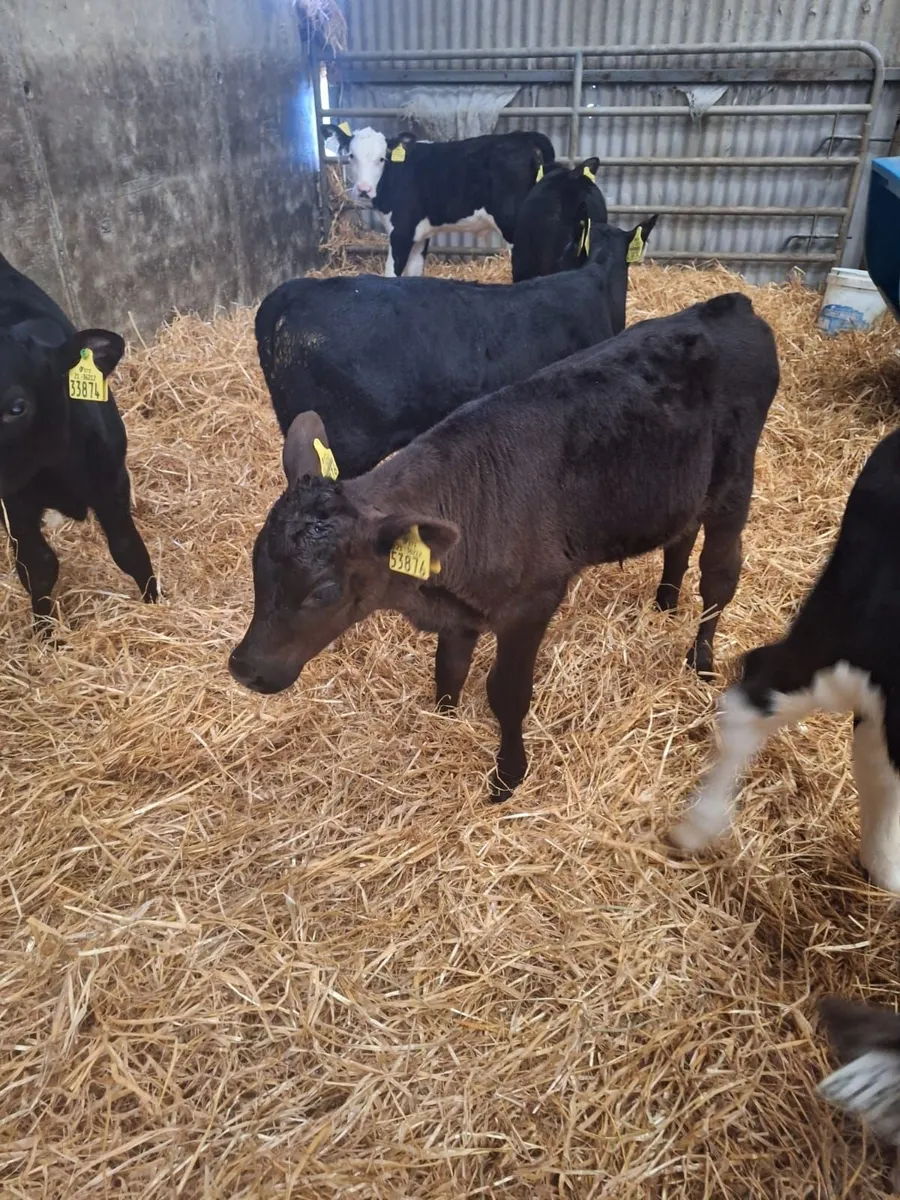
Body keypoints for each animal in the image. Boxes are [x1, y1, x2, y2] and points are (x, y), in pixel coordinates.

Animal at [0, 253, 157, 630]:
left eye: (17, 407)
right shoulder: (15, 504)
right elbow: (37, 566)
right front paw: (46, 633)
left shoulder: (112, 482)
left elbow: (128, 549)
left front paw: (154, 604)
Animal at [230, 293, 779, 801]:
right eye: (257, 567)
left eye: (323, 591)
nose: (244, 668)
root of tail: (727, 305)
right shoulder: (459, 608)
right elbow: (448, 668)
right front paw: (443, 720)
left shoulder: (531, 603)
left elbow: (508, 693)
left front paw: (507, 778)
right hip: (684, 487)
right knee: (680, 538)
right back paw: (665, 602)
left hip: (735, 485)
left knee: (719, 576)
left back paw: (700, 661)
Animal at [322, 123, 555, 277]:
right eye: (351, 156)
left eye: (382, 158)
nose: (363, 189)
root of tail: (524, 137)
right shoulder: (419, 233)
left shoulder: (401, 231)